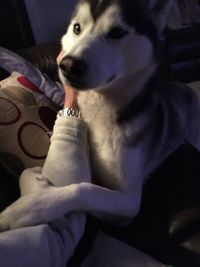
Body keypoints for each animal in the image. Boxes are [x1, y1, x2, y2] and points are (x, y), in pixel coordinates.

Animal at [0, 0, 200, 230]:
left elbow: (83, 188)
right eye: (77, 28)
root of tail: (185, 88)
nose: (67, 65)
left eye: (117, 32)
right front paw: (33, 183)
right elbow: (34, 173)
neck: (100, 107)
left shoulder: (129, 202)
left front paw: (31, 207)